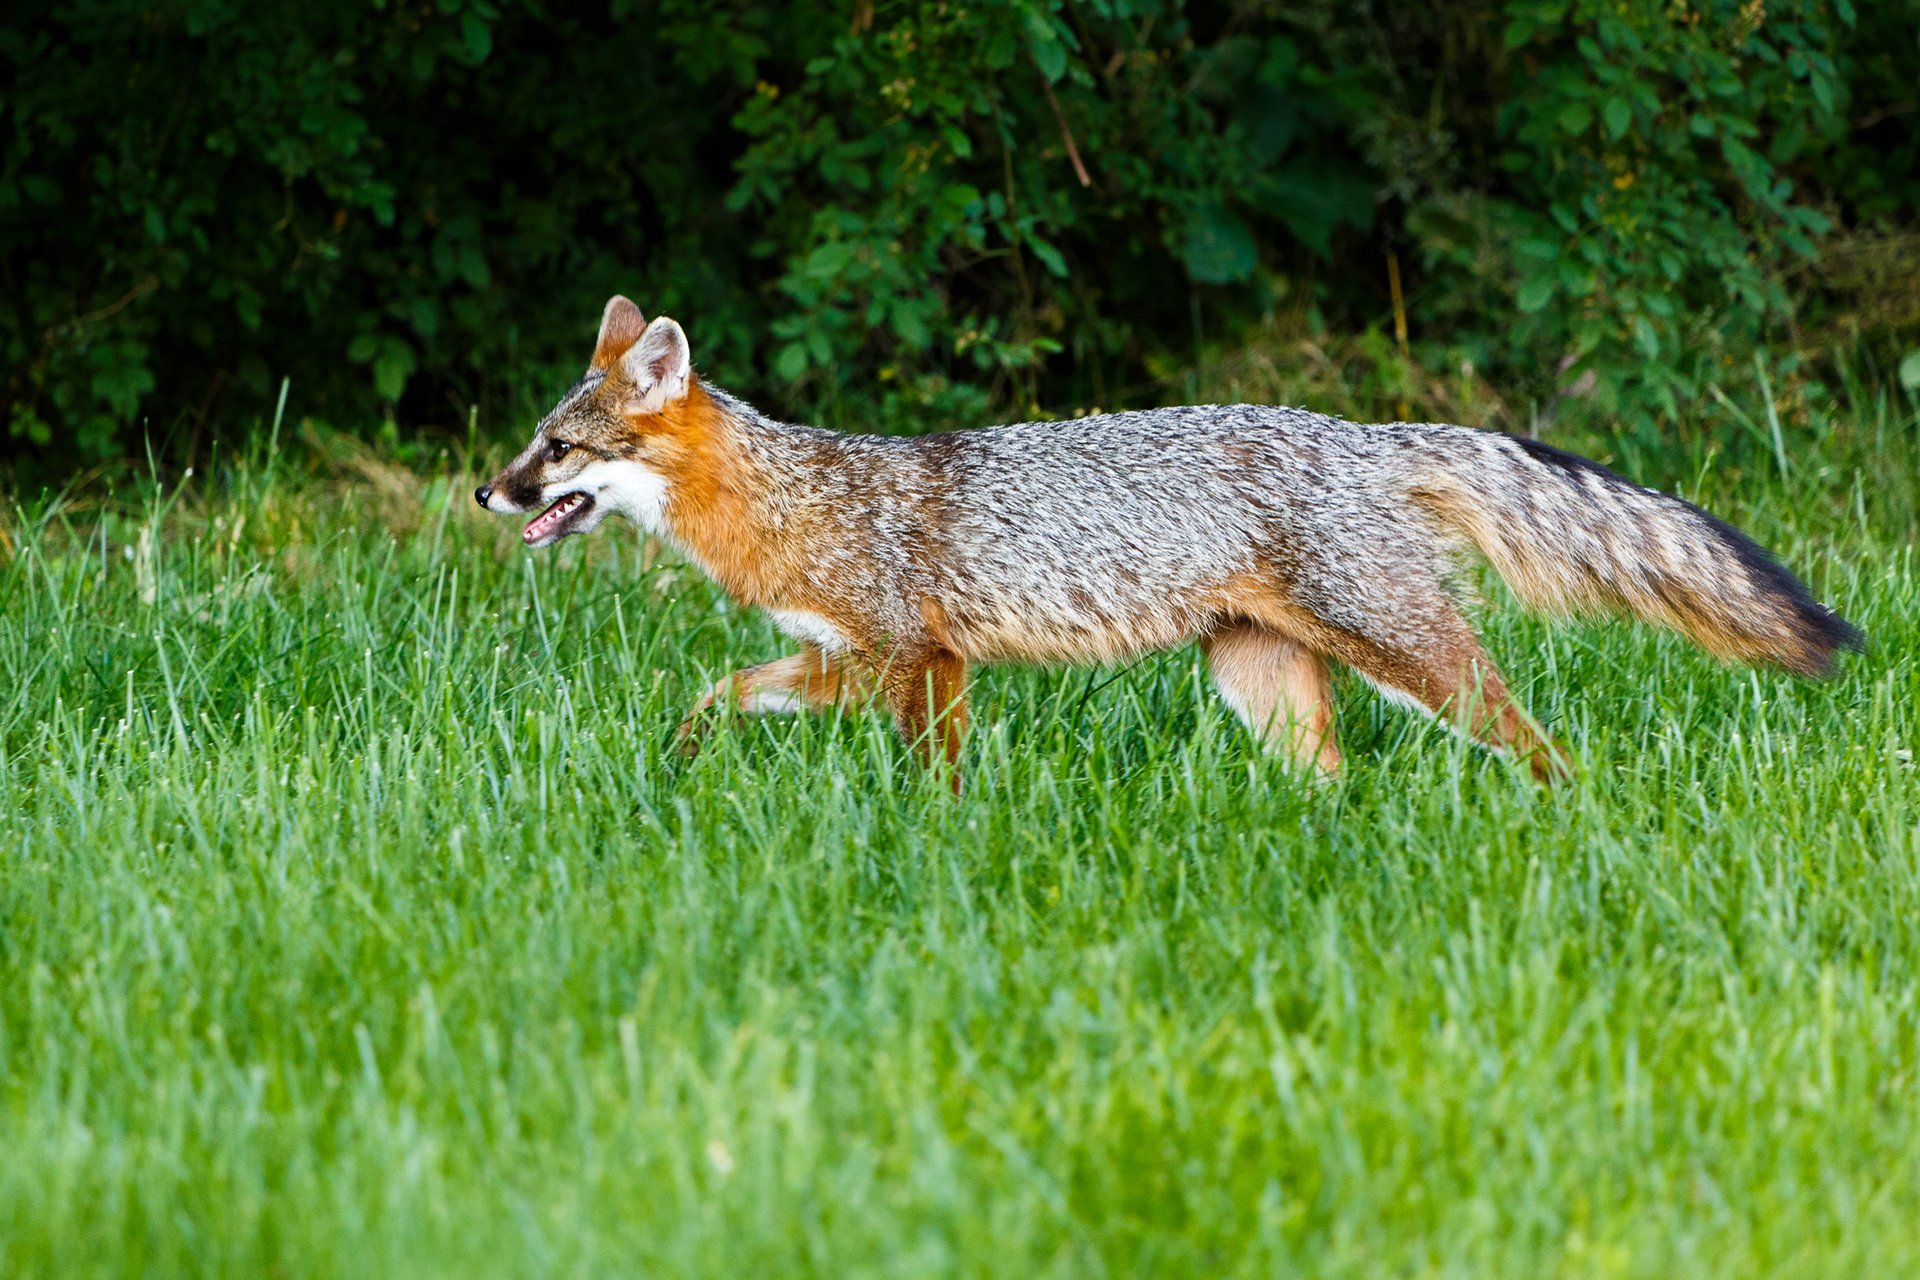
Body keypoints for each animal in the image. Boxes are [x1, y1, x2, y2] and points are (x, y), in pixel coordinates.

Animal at [476, 299, 1858, 786]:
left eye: (556, 446)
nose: (487, 491)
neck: (793, 498)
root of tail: (1364, 431)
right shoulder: (849, 660)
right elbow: (718, 686)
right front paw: (679, 756)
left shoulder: (919, 661)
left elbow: (935, 781)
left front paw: (935, 848)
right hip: (1262, 681)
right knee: (1336, 785)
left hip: (1410, 658)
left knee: (1538, 745)